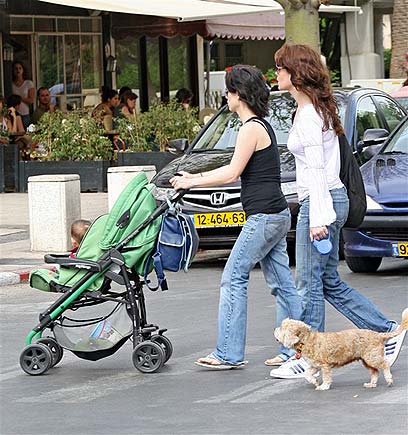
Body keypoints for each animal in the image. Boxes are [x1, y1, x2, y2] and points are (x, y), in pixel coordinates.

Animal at [274, 308, 408, 390]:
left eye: (281, 329)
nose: (275, 329)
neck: (306, 340)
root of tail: (378, 335)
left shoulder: (325, 366)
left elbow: (326, 377)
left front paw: (324, 386)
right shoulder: (315, 365)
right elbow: (307, 373)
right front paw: (314, 381)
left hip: (372, 357)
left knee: (385, 365)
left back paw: (389, 379)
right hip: (366, 360)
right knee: (375, 372)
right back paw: (371, 384)